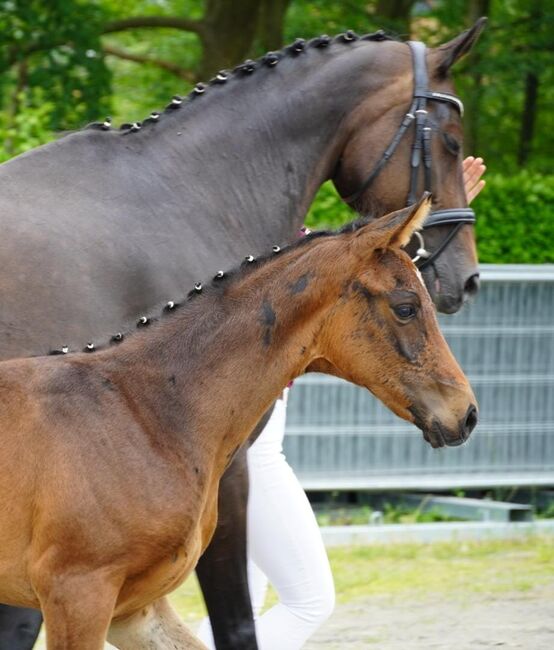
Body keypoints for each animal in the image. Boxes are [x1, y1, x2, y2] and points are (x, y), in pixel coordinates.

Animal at [0, 20, 484, 648]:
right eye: (449, 140)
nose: (466, 413)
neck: (144, 405)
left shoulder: (133, 605)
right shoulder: (83, 586)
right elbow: (235, 621)